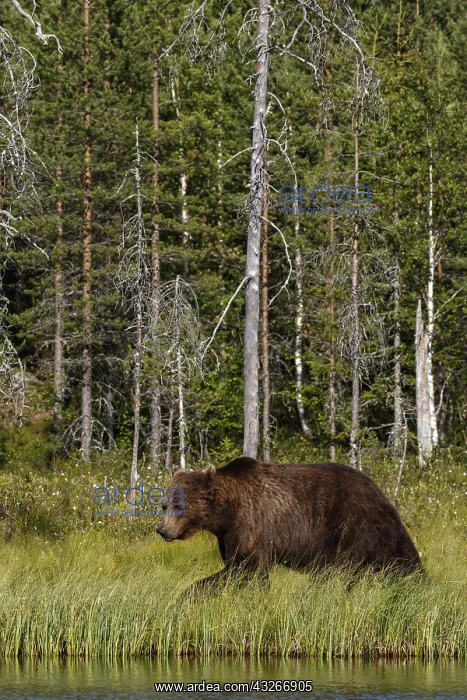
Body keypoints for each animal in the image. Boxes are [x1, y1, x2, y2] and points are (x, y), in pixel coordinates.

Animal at [156, 457, 422, 592]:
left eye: (179, 504)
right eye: (165, 504)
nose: (162, 530)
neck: (227, 512)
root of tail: (379, 492)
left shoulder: (252, 525)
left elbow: (247, 568)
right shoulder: (229, 535)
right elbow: (237, 566)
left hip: (351, 525)